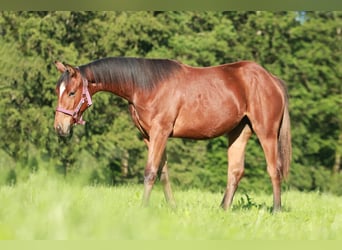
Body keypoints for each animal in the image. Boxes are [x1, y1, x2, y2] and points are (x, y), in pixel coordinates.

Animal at [53, 56, 292, 211]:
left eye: (72, 92)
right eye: (58, 91)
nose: (59, 128)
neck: (147, 86)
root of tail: (272, 79)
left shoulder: (160, 132)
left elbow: (150, 172)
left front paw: (142, 208)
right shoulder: (150, 136)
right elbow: (163, 173)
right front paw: (172, 207)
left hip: (266, 132)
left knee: (274, 169)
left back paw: (276, 209)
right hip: (239, 132)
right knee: (235, 171)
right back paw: (223, 209)